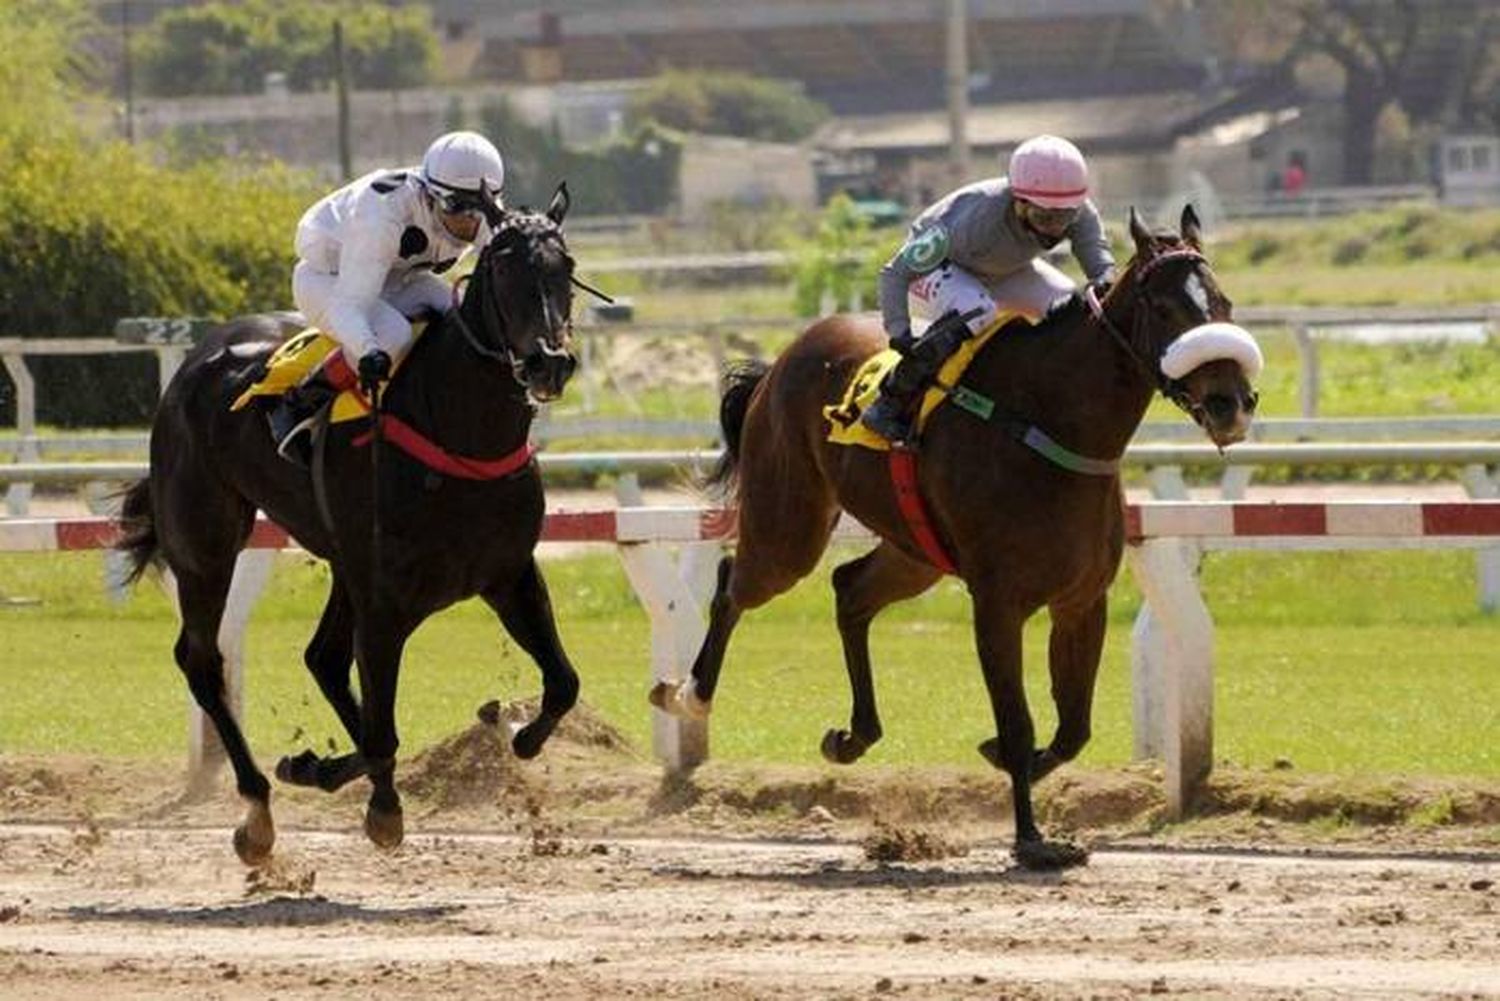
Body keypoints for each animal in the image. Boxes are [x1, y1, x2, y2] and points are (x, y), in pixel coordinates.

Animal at [118, 186, 579, 864]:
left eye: (565, 269)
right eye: (502, 269)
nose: (550, 363)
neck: (458, 429)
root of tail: (195, 362)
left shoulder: (508, 575)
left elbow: (562, 683)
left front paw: (516, 735)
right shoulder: (384, 599)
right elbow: (383, 729)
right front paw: (383, 809)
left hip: (338, 561)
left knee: (323, 659)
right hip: (205, 543)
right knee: (202, 659)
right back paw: (256, 811)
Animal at [651, 210, 1260, 870]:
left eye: (1223, 302)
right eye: (1166, 308)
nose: (1230, 402)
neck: (1048, 421)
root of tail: (780, 362)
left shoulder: (1081, 599)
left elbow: (1073, 728)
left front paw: (1018, 770)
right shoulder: (997, 603)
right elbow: (1019, 721)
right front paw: (1031, 839)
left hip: (915, 554)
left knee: (849, 589)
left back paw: (853, 735)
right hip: (790, 528)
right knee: (733, 586)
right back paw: (687, 693)